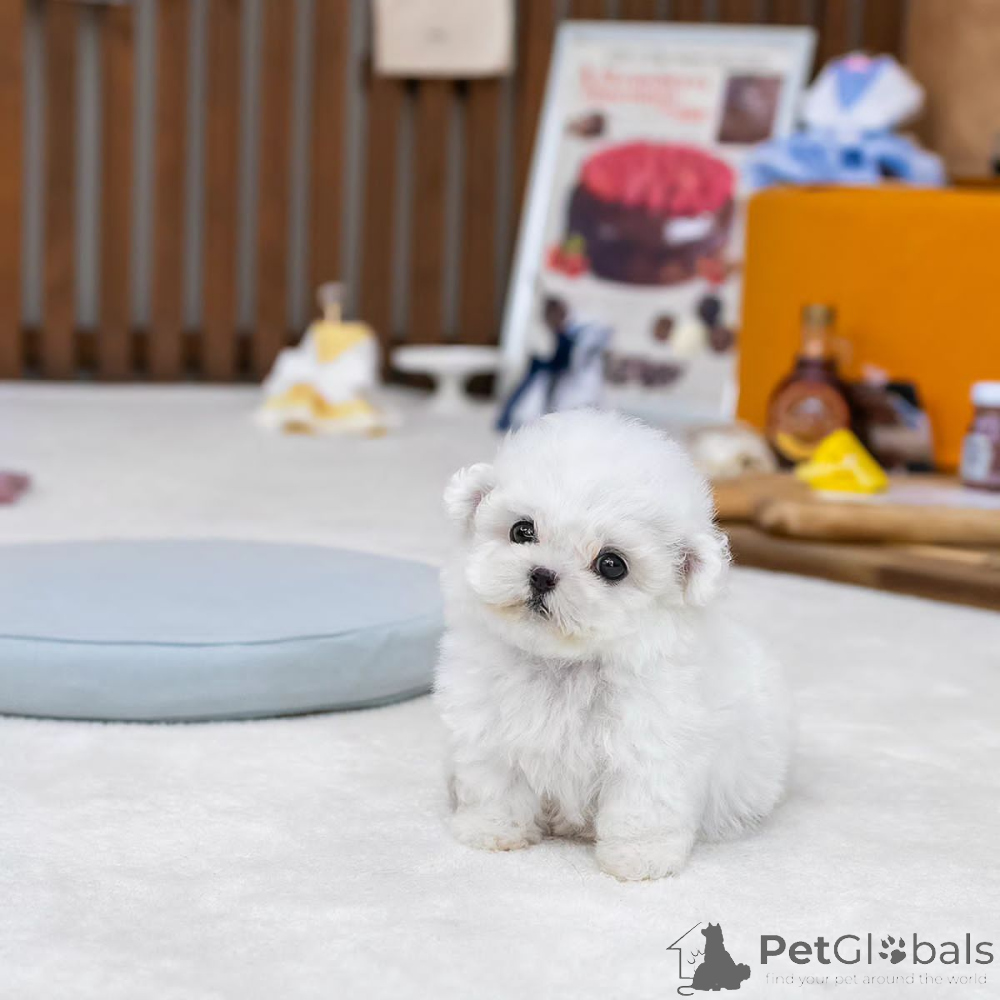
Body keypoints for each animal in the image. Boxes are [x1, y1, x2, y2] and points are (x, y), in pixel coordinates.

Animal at [435, 409, 791, 881]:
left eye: (611, 565)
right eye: (522, 530)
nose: (542, 575)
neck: (562, 665)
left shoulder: (650, 746)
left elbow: (642, 807)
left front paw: (639, 858)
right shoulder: (487, 727)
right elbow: (494, 783)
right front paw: (491, 830)